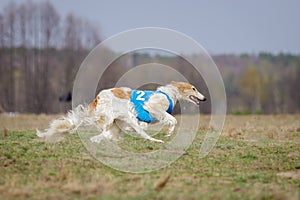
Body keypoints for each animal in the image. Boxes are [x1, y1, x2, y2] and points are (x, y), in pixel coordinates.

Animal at [37, 81, 206, 144]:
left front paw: (168, 131)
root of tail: (98, 97)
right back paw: (155, 140)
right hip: (121, 114)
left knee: (105, 134)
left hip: (115, 121)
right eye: (194, 89)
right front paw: (168, 132)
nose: (204, 98)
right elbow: (172, 119)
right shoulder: (152, 106)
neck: (170, 93)